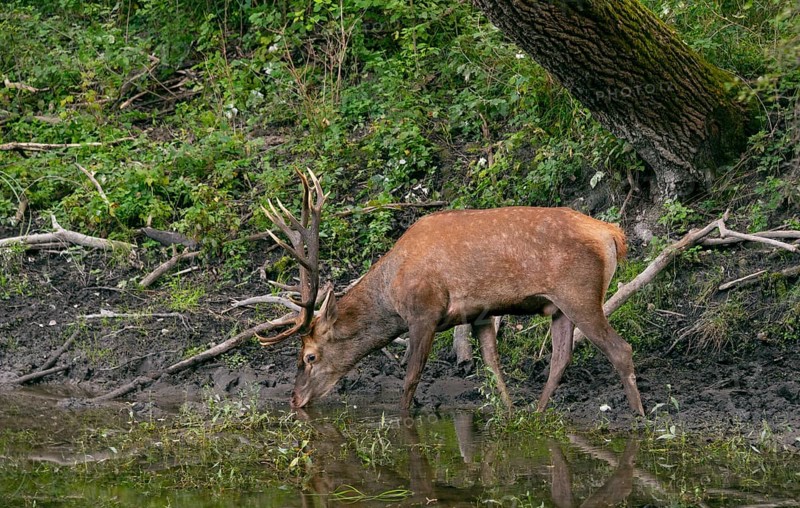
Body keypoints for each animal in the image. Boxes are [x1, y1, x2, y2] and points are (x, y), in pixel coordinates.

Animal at [259, 170, 645, 416]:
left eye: (309, 356)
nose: (294, 400)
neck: (392, 289)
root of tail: (613, 235)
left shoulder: (424, 311)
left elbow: (411, 377)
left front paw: (403, 418)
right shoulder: (481, 313)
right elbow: (492, 364)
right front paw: (508, 411)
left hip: (580, 293)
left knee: (621, 349)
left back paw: (638, 417)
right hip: (559, 306)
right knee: (560, 357)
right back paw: (536, 413)